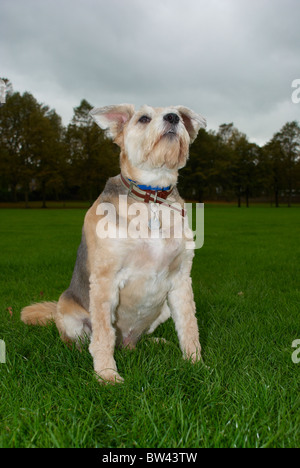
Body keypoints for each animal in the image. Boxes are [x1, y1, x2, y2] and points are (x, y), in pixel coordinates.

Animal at [21, 103, 207, 384]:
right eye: (144, 118)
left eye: (179, 115)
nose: (173, 118)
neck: (151, 198)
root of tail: (126, 343)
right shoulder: (105, 279)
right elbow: (103, 336)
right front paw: (107, 375)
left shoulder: (181, 279)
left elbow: (188, 325)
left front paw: (196, 364)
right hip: (69, 313)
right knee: (82, 342)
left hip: (162, 309)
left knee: (139, 340)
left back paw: (155, 342)